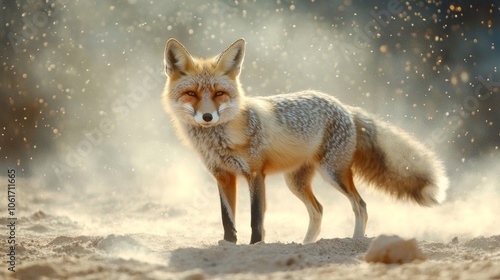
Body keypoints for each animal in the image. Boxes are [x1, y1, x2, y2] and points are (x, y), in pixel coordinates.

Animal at [161, 38, 450, 244]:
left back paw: (355, 242)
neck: (220, 139)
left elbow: (256, 219)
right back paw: (306, 245)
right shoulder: (223, 176)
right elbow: (227, 220)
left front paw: (256, 246)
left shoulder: (255, 174)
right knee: (318, 210)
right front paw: (229, 245)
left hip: (334, 173)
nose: (207, 116)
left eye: (219, 93)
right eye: (191, 94)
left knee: (360, 205)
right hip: (296, 182)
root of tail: (344, 106)